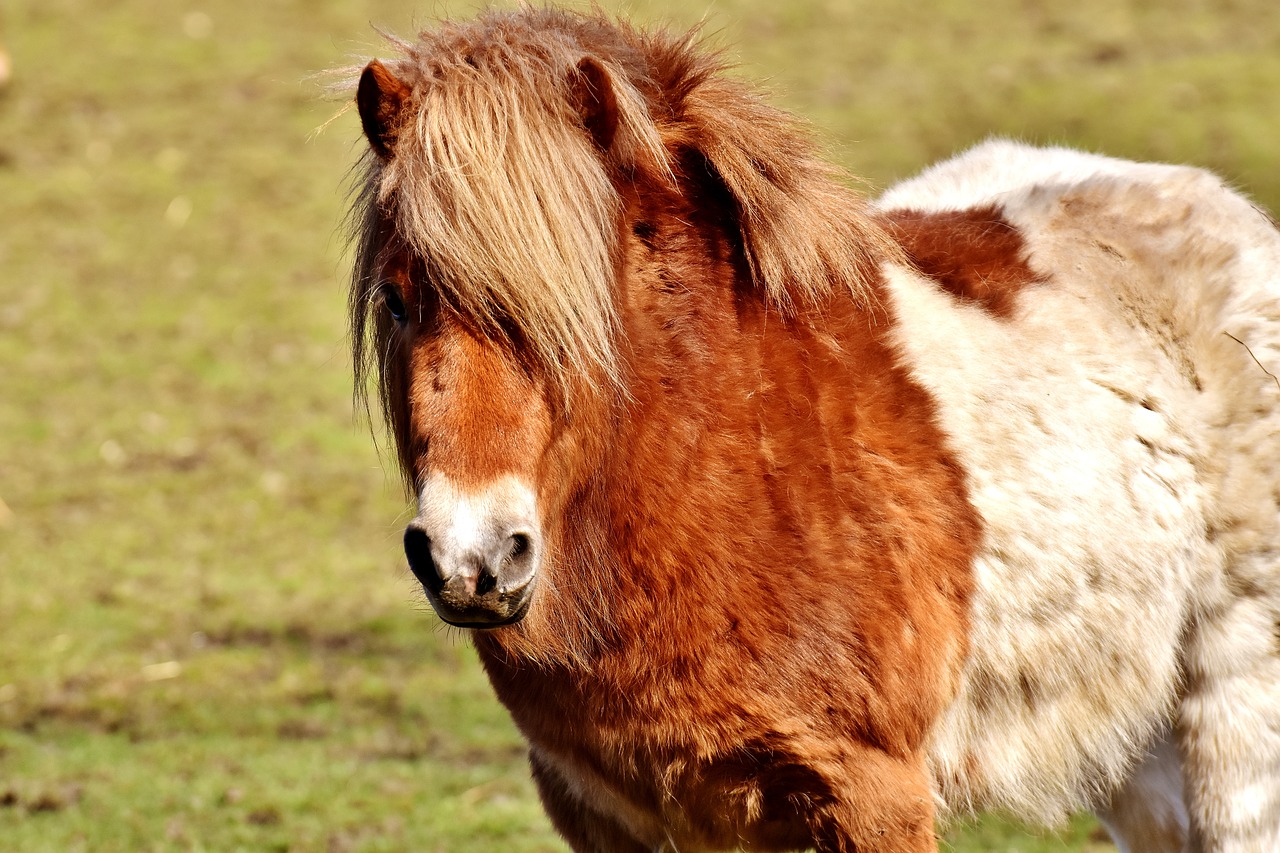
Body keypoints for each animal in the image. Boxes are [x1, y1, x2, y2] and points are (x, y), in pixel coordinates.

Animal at [343, 8, 1280, 850]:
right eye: (396, 300)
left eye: (580, 309)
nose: (472, 557)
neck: (717, 456)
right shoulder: (616, 815)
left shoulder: (871, 797)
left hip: (1236, 711)